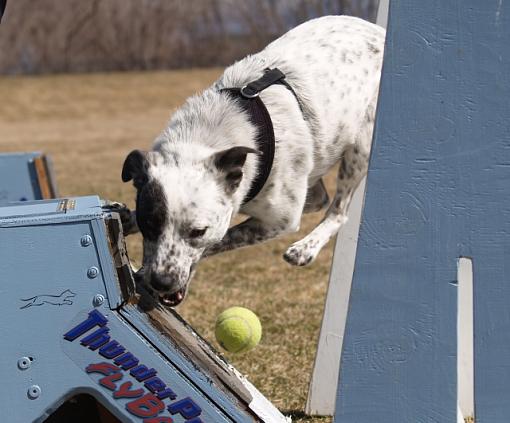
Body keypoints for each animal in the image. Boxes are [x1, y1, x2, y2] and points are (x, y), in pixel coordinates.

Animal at [122, 16, 386, 306]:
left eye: (198, 232)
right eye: (150, 223)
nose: (162, 281)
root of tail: (379, 31)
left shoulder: (279, 221)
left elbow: (224, 238)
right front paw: (126, 218)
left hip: (361, 147)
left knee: (338, 209)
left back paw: (306, 247)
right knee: (319, 197)